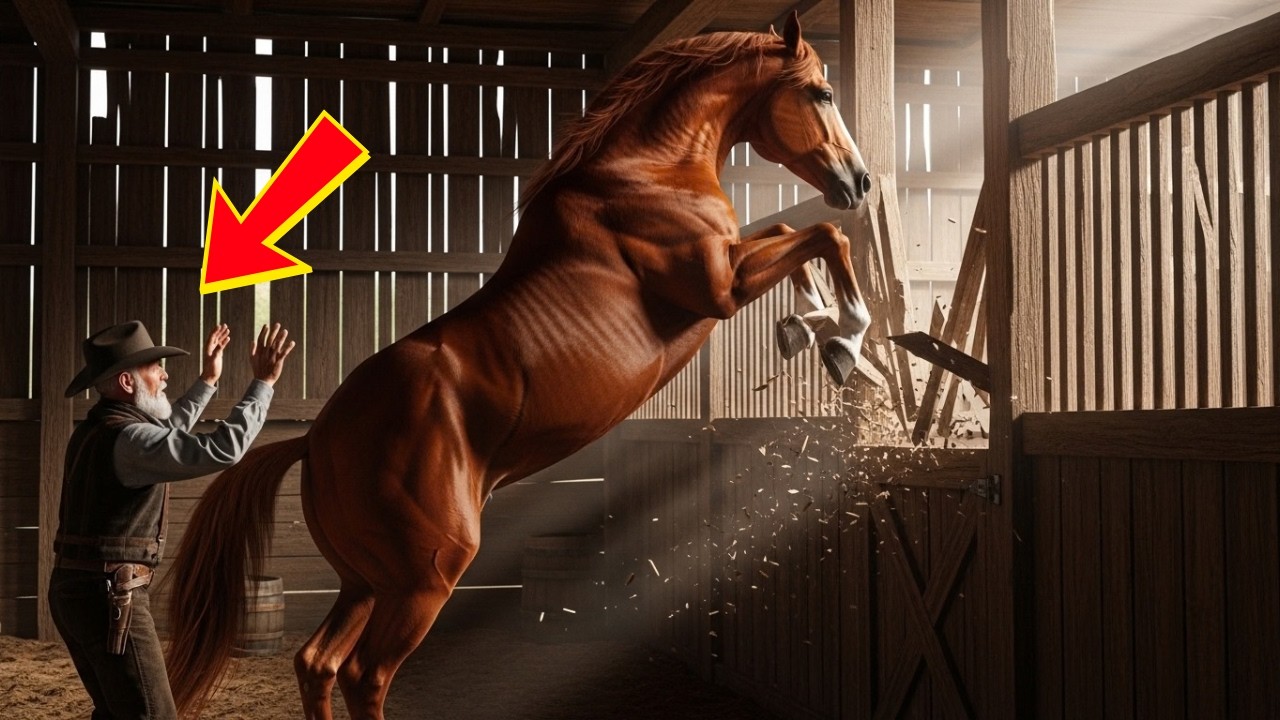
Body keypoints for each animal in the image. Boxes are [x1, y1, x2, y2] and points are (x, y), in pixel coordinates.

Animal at [165, 13, 871, 719]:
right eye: (822, 92)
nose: (858, 182)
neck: (651, 172)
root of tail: (317, 439)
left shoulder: (731, 269)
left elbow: (790, 236)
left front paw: (809, 331)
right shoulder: (720, 287)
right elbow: (818, 237)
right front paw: (844, 341)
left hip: (365, 581)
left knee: (317, 663)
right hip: (425, 575)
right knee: (365, 673)